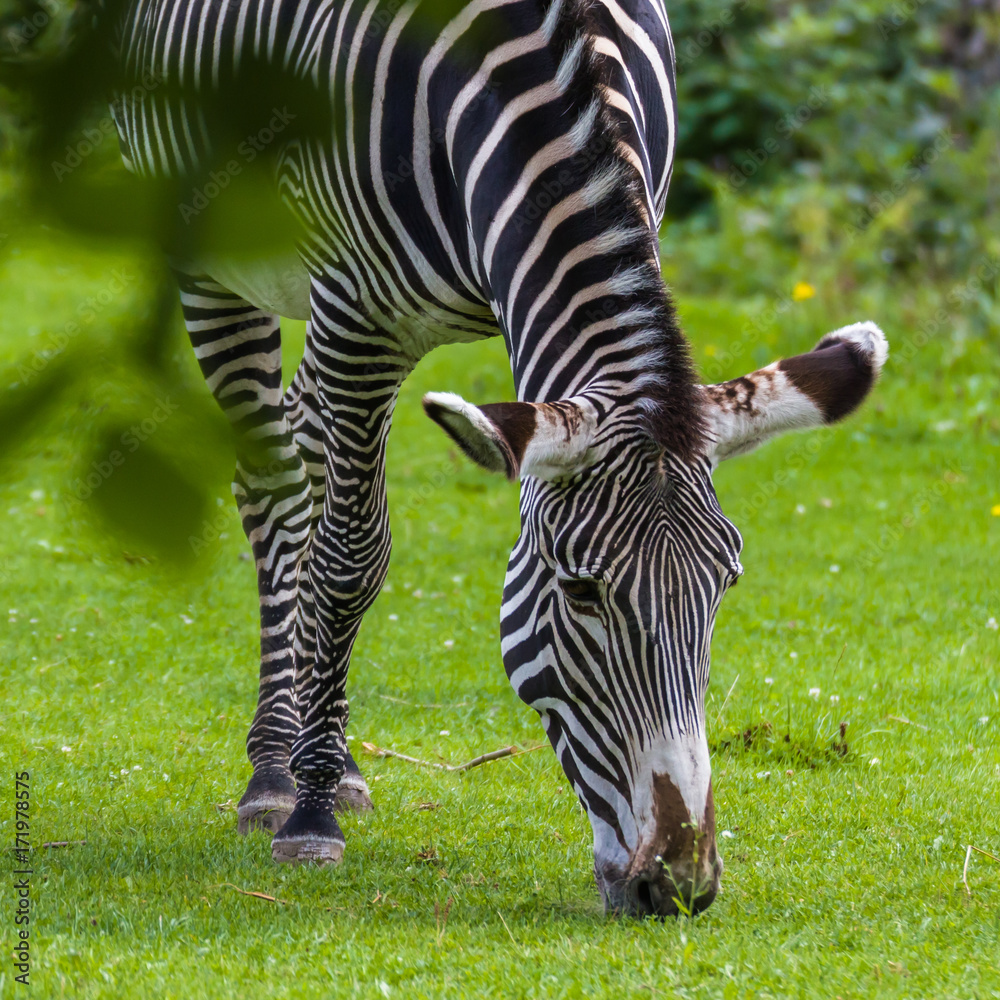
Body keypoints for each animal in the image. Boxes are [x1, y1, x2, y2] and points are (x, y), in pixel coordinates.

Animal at [111, 0, 892, 916]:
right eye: (582, 592)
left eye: (724, 585)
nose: (679, 886)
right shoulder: (357, 318)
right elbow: (351, 560)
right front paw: (309, 816)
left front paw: (327, 769)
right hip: (212, 247)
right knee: (273, 484)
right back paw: (277, 769)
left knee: (302, 442)